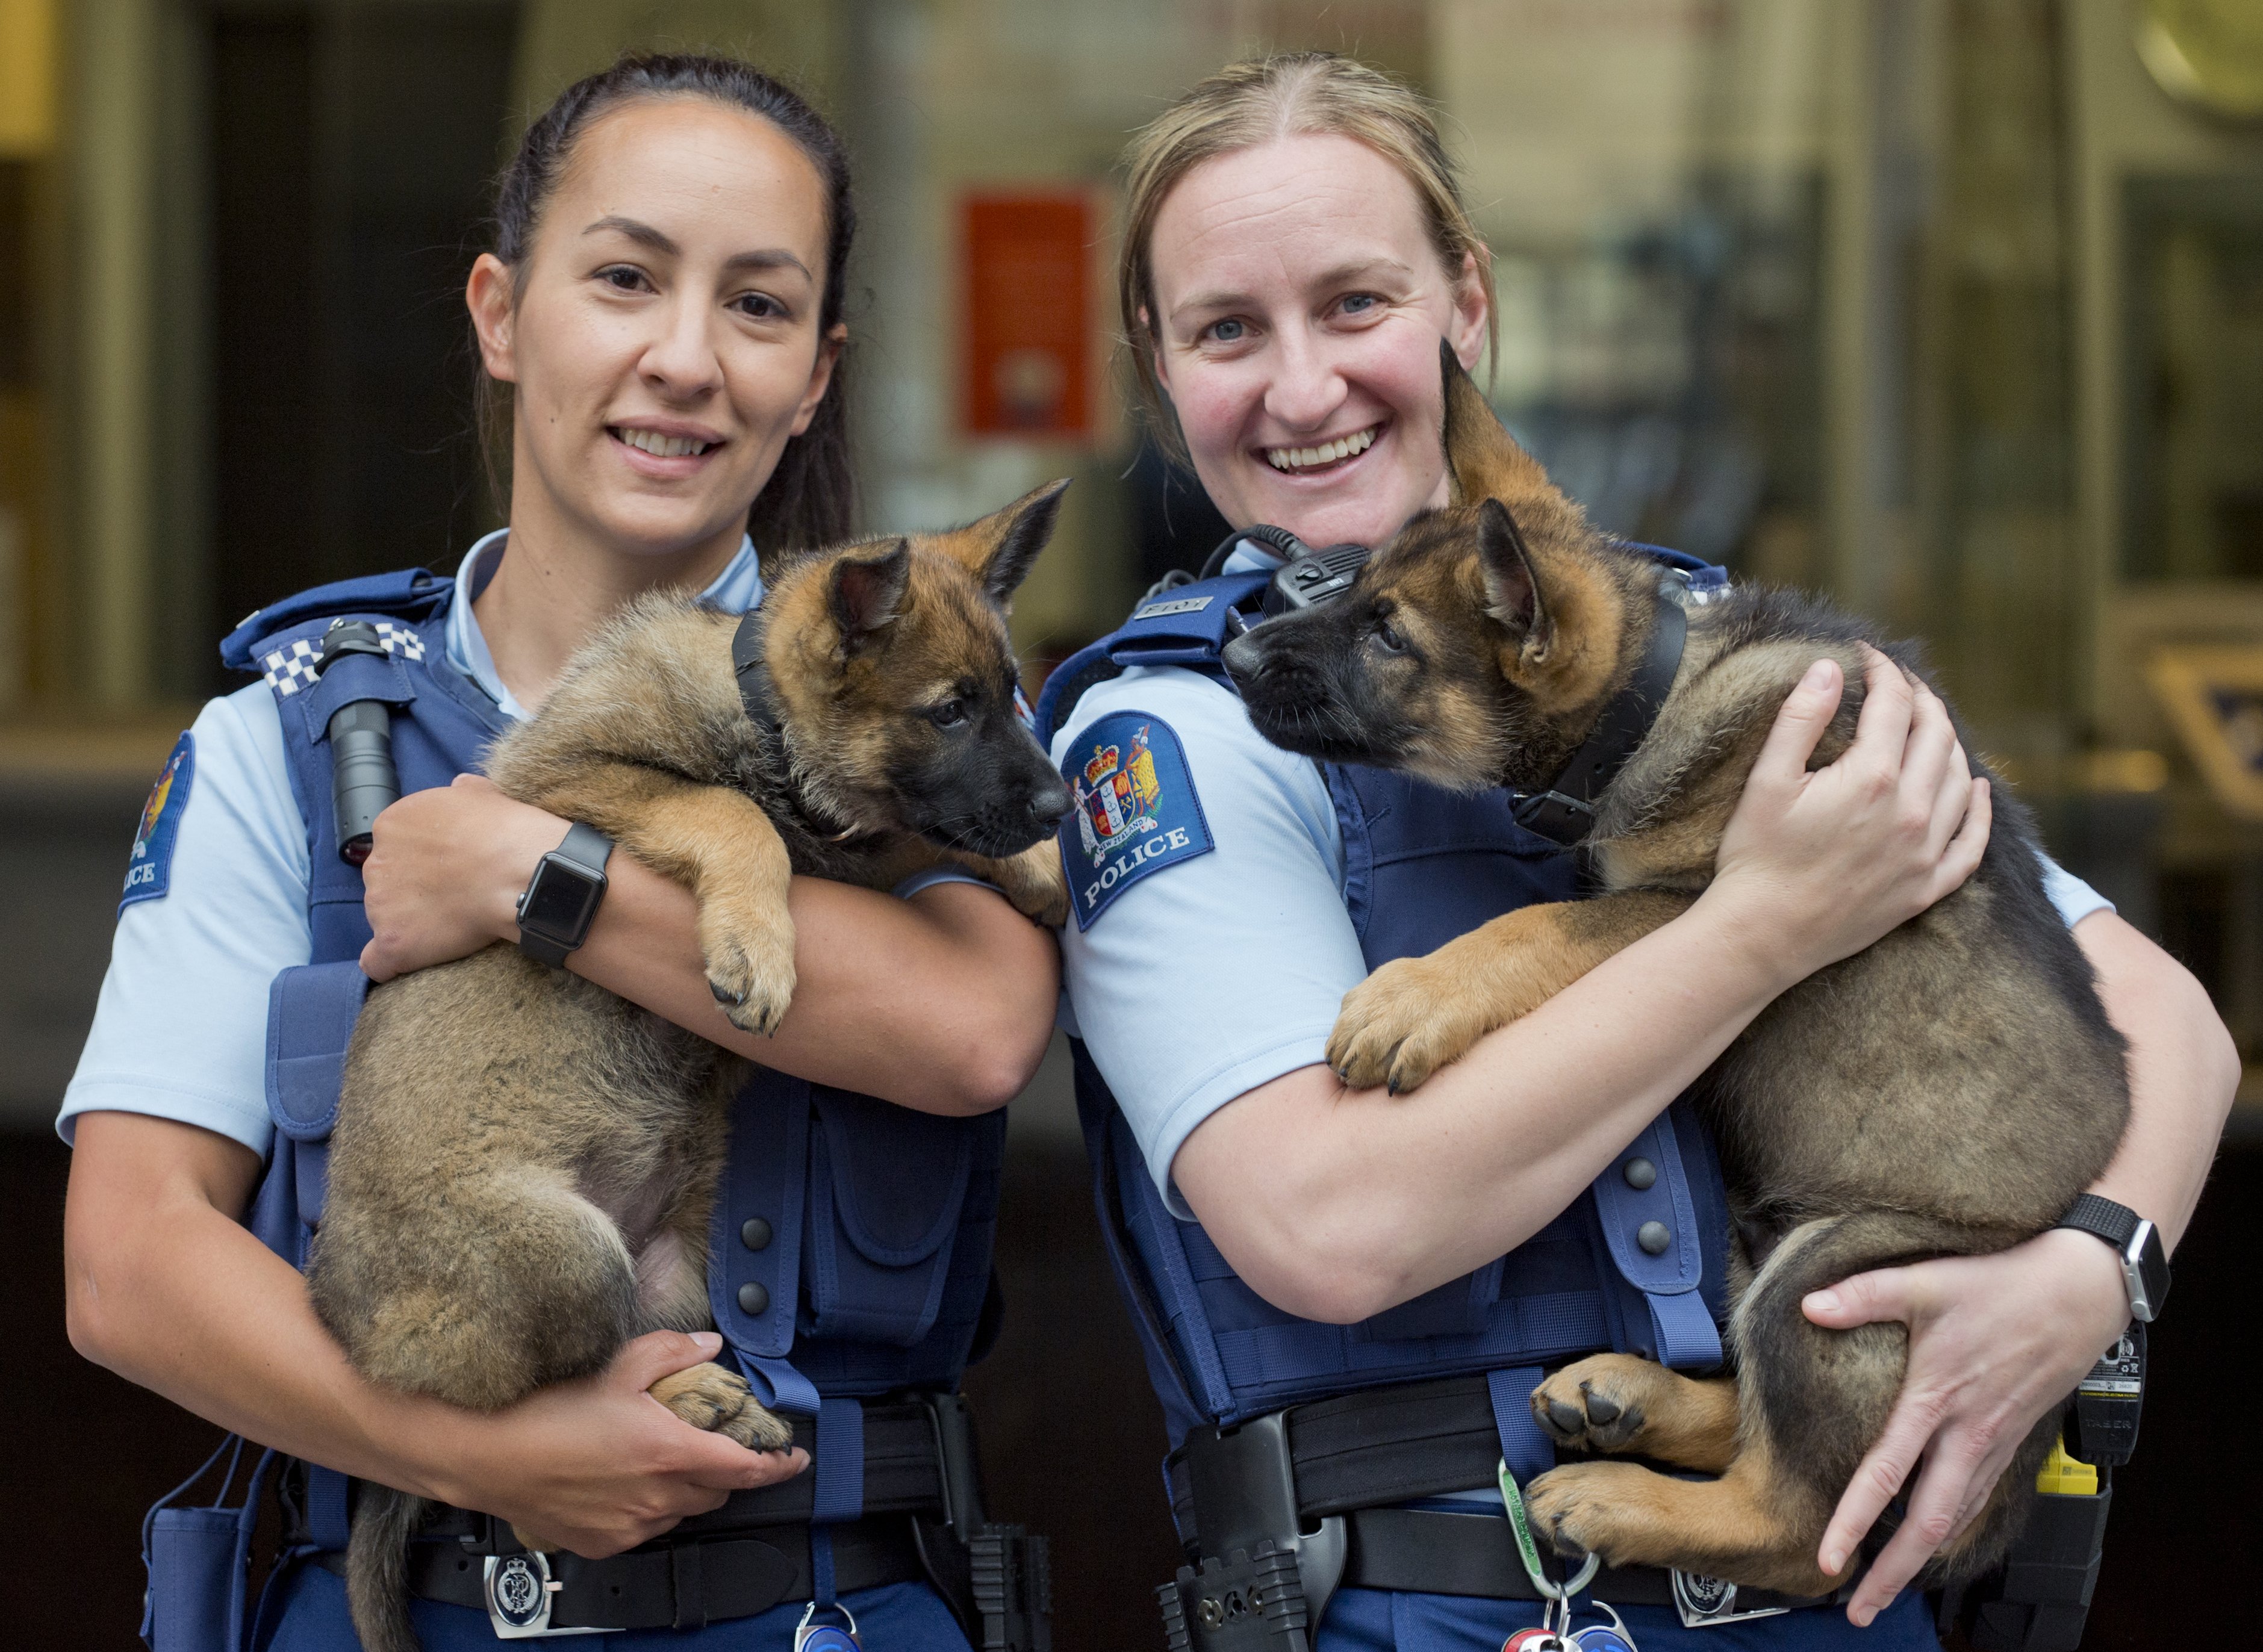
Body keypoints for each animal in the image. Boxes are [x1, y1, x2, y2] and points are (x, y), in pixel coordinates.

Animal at [310, 475, 1077, 1647]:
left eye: (1011, 699)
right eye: (950, 709)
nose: (1061, 803)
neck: (761, 722)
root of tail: (357, 1342)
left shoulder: (856, 849)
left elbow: (917, 835)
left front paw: (1040, 867)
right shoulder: (572, 783)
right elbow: (723, 811)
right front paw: (757, 947)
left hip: (679, 1278)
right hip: (561, 1251)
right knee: (527, 1426)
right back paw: (686, 1404)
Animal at [1222, 357, 2118, 1593]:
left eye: (1388, 638)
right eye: (1353, 594)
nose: (1234, 657)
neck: (1651, 700)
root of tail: (2010, 1482)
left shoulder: (1693, 907)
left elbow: (1545, 922)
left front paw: (1409, 998)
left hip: (1830, 1265)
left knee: (1802, 1527)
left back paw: (1614, 1495)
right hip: (1757, 1229)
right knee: (1757, 1428)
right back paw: (1626, 1400)